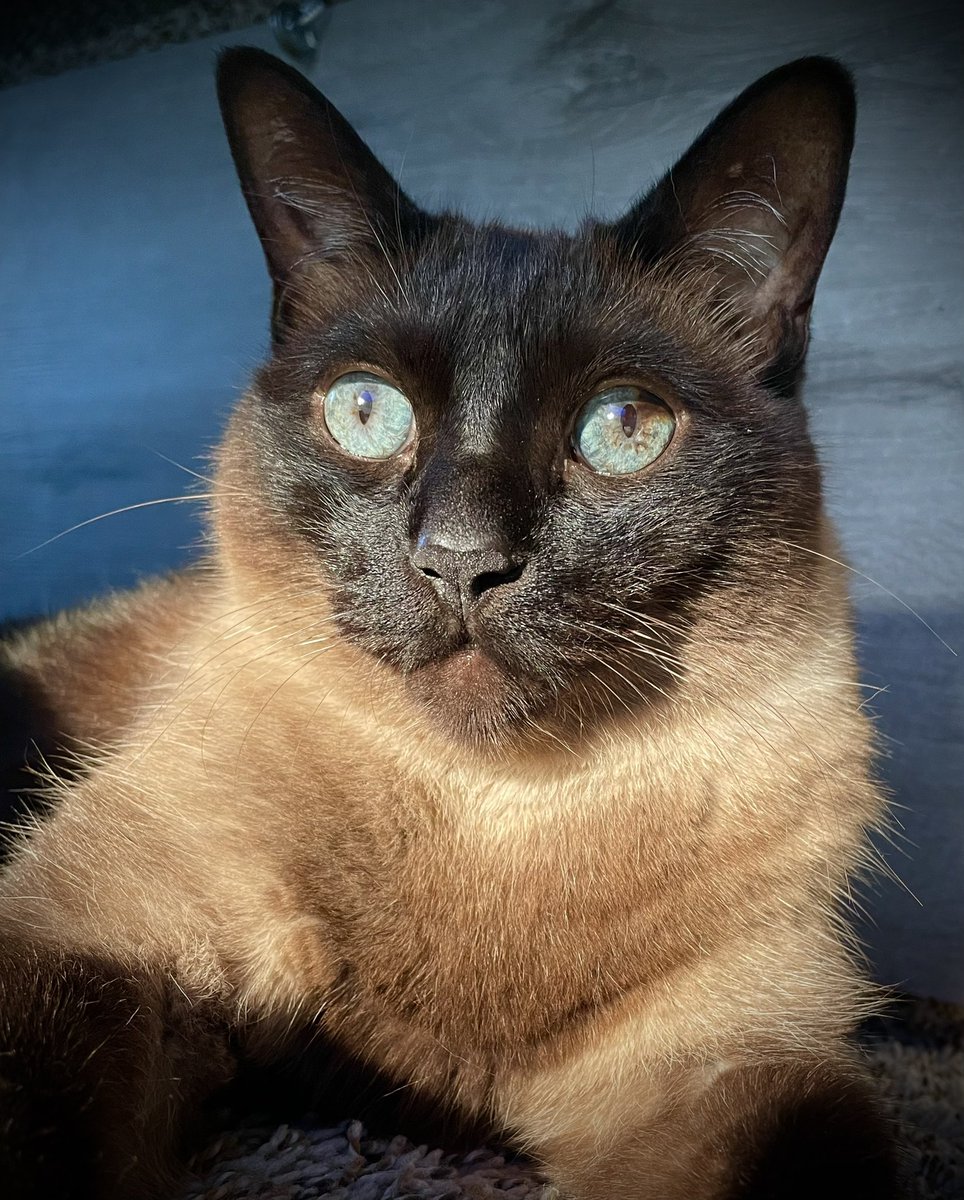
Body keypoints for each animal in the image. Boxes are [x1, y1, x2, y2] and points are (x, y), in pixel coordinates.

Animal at [0, 49, 902, 1200]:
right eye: (366, 411)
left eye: (623, 427)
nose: (463, 562)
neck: (490, 815)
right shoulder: (86, 944)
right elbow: (38, 1114)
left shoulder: (733, 1063)